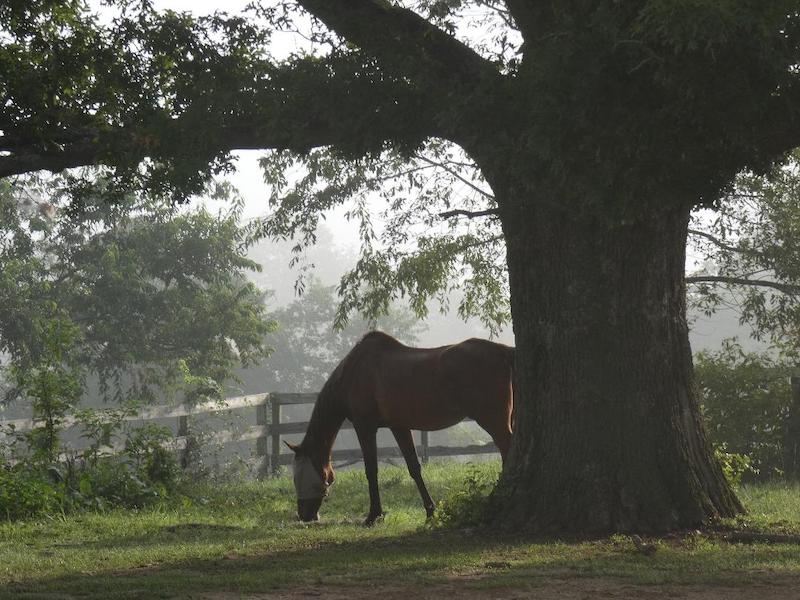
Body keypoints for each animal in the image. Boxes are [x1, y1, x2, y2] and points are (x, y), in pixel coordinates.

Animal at [286, 330, 514, 525]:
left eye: (299, 478)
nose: (304, 515)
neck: (354, 372)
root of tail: (502, 351)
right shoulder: (399, 426)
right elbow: (414, 467)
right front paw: (430, 512)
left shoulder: (365, 426)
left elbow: (371, 470)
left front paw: (373, 515)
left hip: (493, 420)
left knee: (506, 448)